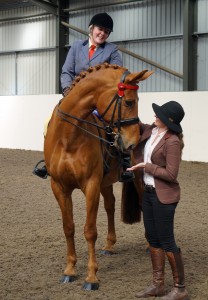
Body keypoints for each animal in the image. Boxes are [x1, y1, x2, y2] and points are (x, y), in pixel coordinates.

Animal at [44, 62, 153, 290]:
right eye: (129, 102)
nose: (131, 142)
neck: (68, 137)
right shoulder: (59, 187)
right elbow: (69, 227)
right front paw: (69, 270)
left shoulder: (91, 185)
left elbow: (90, 230)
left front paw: (91, 277)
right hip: (106, 182)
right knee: (110, 206)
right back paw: (110, 246)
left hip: (137, 179)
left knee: (142, 204)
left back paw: (150, 244)